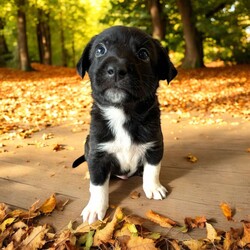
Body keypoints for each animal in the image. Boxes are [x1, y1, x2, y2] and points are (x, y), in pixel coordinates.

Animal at [73, 25, 178, 225]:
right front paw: (95, 207)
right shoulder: (97, 153)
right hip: (87, 143)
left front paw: (153, 187)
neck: (122, 112)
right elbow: (98, 184)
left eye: (143, 54)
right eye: (100, 50)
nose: (116, 69)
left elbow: (153, 169)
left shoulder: (155, 145)